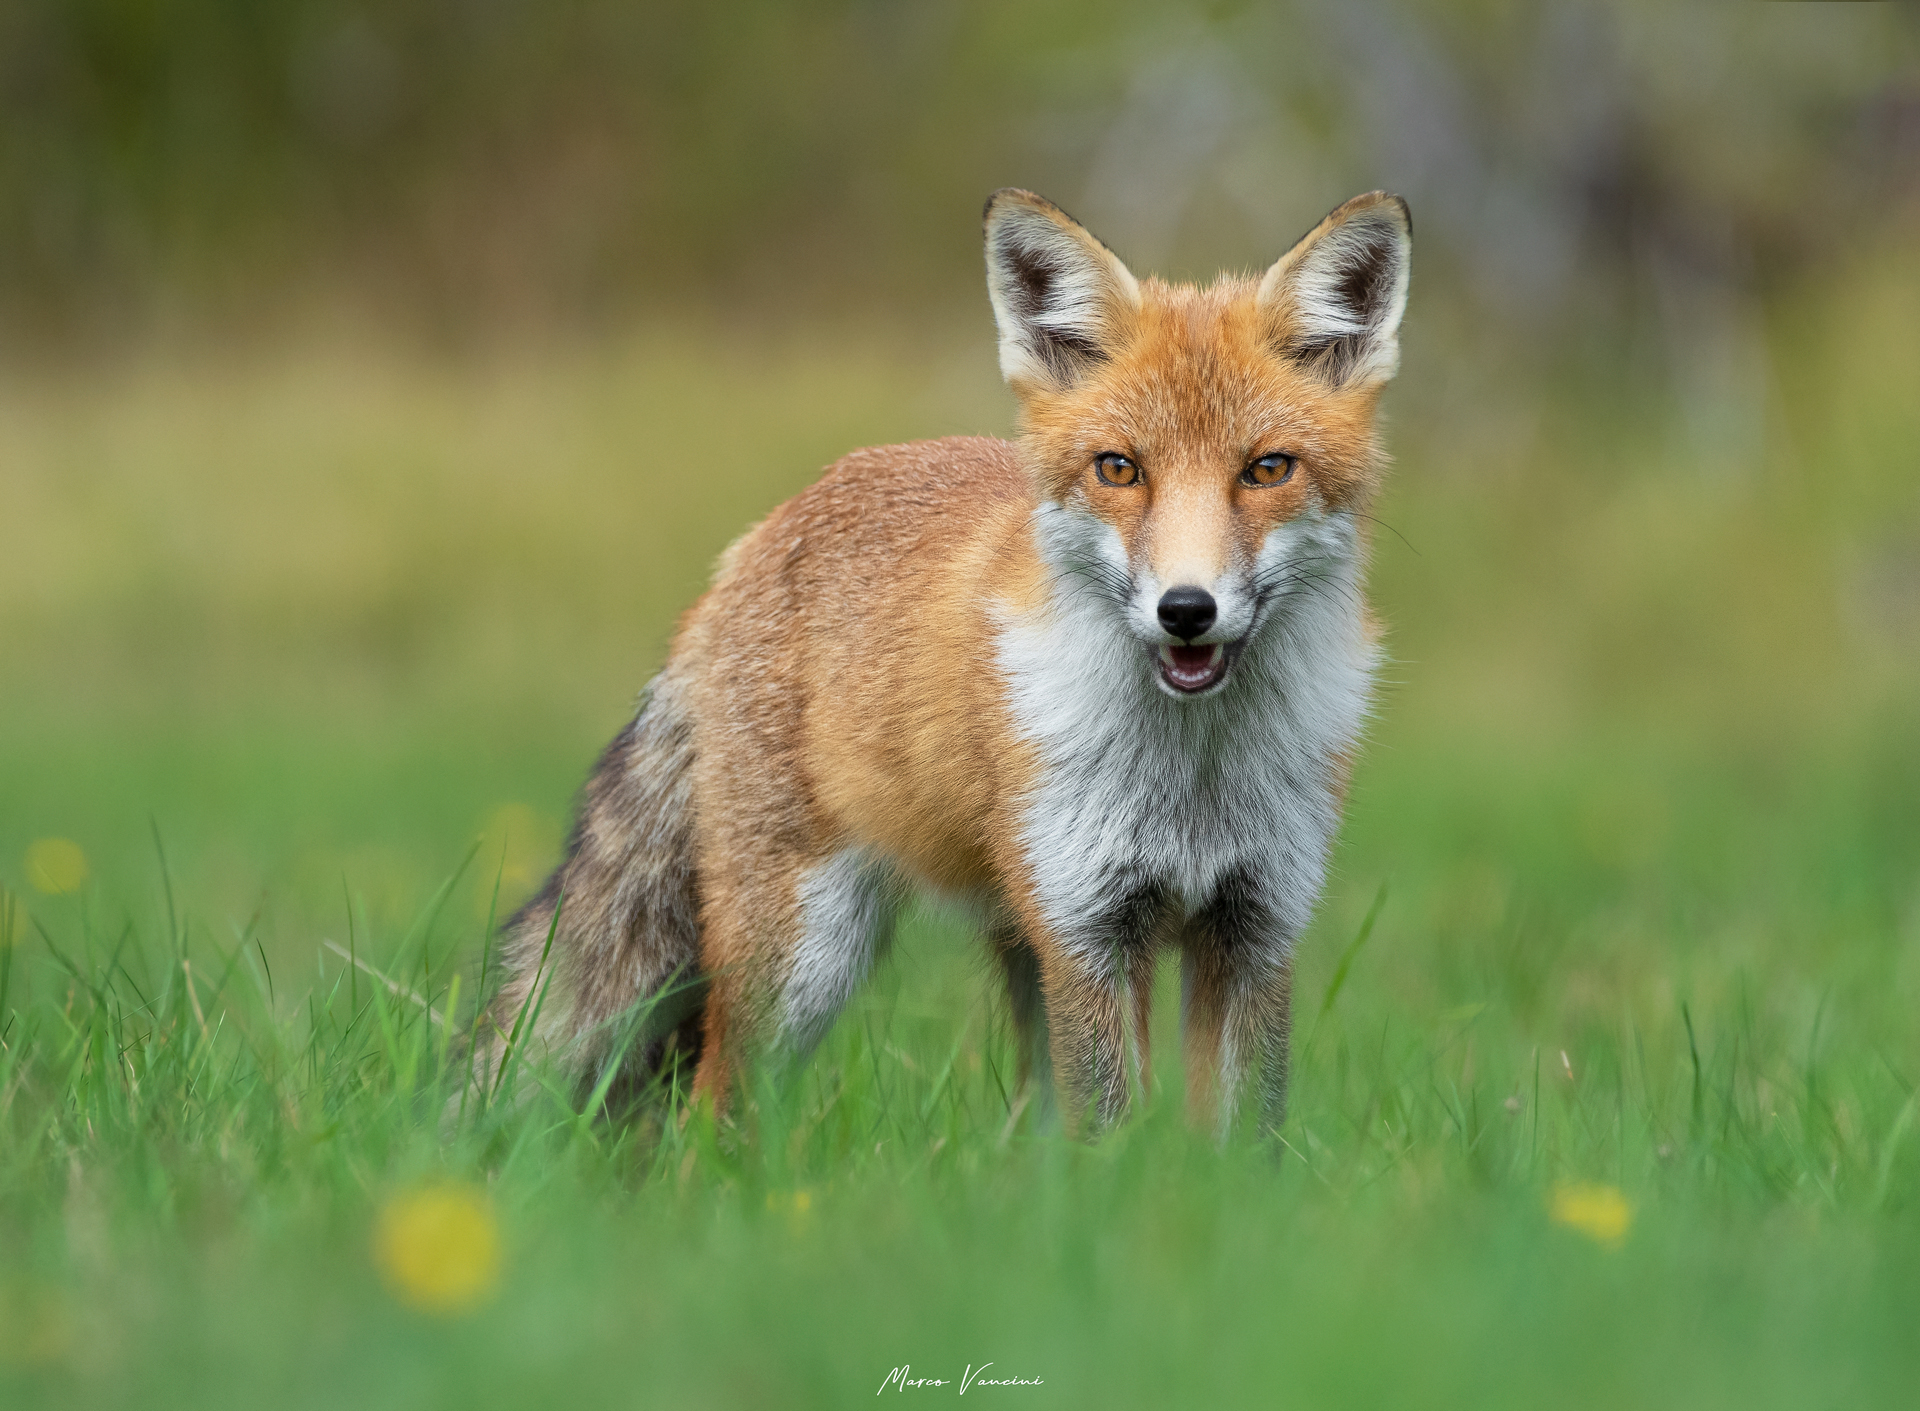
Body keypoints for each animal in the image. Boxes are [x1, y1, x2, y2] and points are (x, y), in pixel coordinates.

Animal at [478, 187, 1412, 1137]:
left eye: (1267, 469)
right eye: (1119, 469)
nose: (1186, 609)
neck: (1193, 781)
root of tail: (748, 546)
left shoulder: (1255, 925)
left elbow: (1239, 1144)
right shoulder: (1087, 928)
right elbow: (1111, 1132)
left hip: (1009, 947)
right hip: (802, 960)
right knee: (709, 1116)